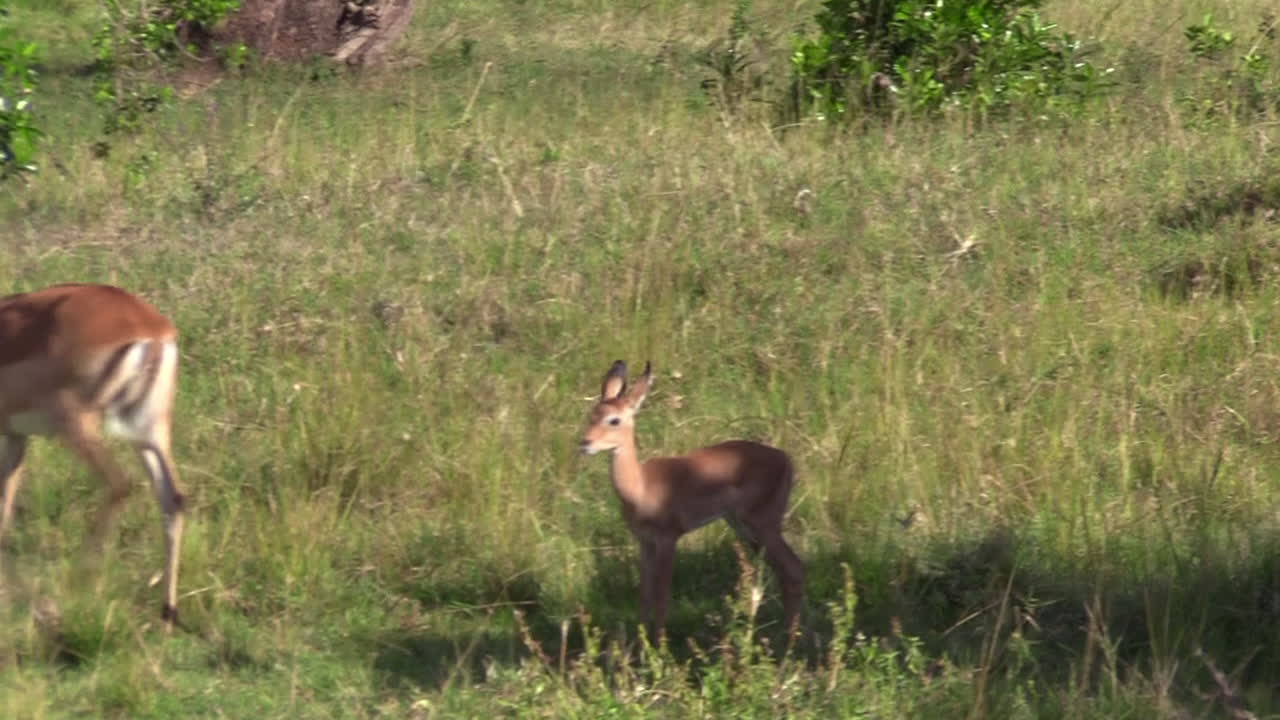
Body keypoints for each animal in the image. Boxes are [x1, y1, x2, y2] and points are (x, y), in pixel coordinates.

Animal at [0, 283, 186, 629]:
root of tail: (149, 328)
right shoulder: (16, 436)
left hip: (77, 425)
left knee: (120, 483)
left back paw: (77, 581)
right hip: (150, 432)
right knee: (174, 498)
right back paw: (168, 613)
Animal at [579, 360, 805, 641]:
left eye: (614, 420)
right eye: (592, 414)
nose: (585, 442)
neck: (641, 487)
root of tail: (785, 458)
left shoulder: (668, 539)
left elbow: (661, 595)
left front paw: (658, 644)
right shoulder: (645, 542)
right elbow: (644, 594)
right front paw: (639, 643)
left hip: (764, 524)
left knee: (795, 569)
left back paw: (790, 641)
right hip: (745, 527)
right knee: (785, 571)